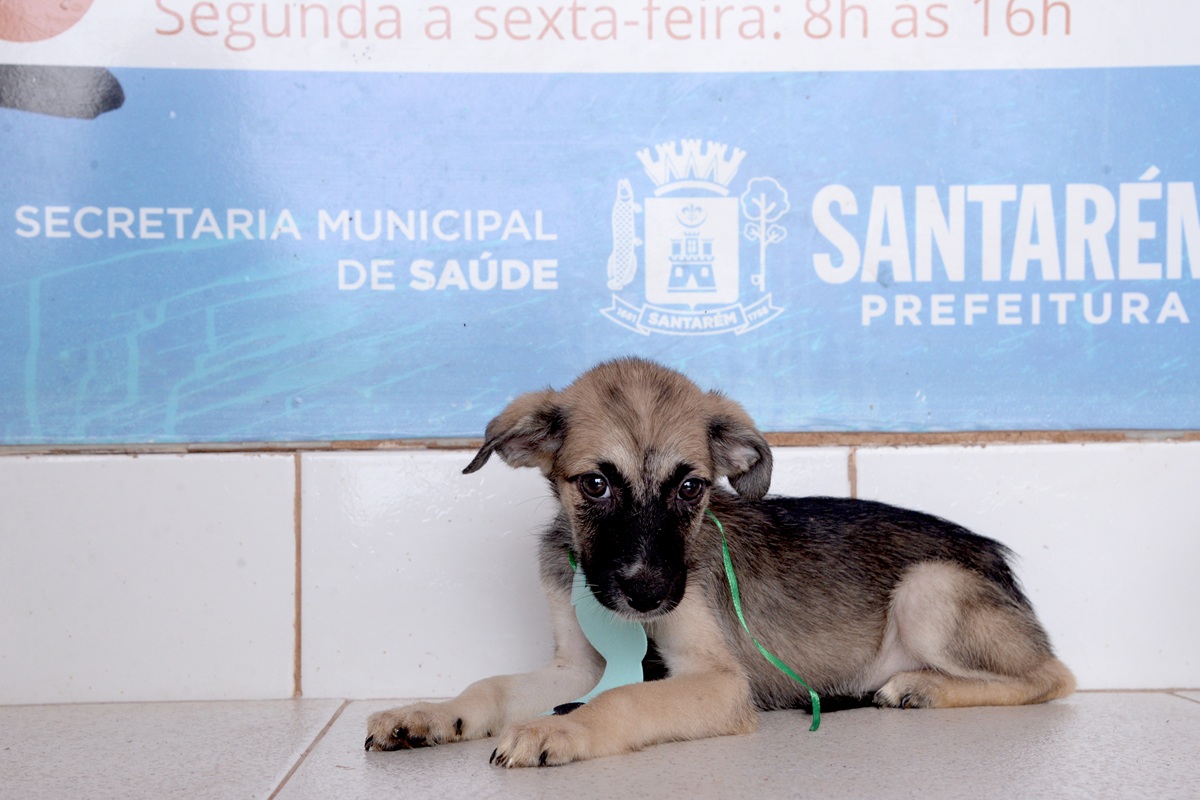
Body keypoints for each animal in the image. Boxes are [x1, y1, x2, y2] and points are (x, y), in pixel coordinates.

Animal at [360, 359, 1075, 767]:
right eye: (596, 484)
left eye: (690, 487)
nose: (647, 596)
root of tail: (995, 557)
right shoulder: (577, 668)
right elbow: (492, 687)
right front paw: (425, 716)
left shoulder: (720, 681)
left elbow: (624, 701)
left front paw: (560, 733)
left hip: (929, 588)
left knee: (1053, 676)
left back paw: (920, 688)